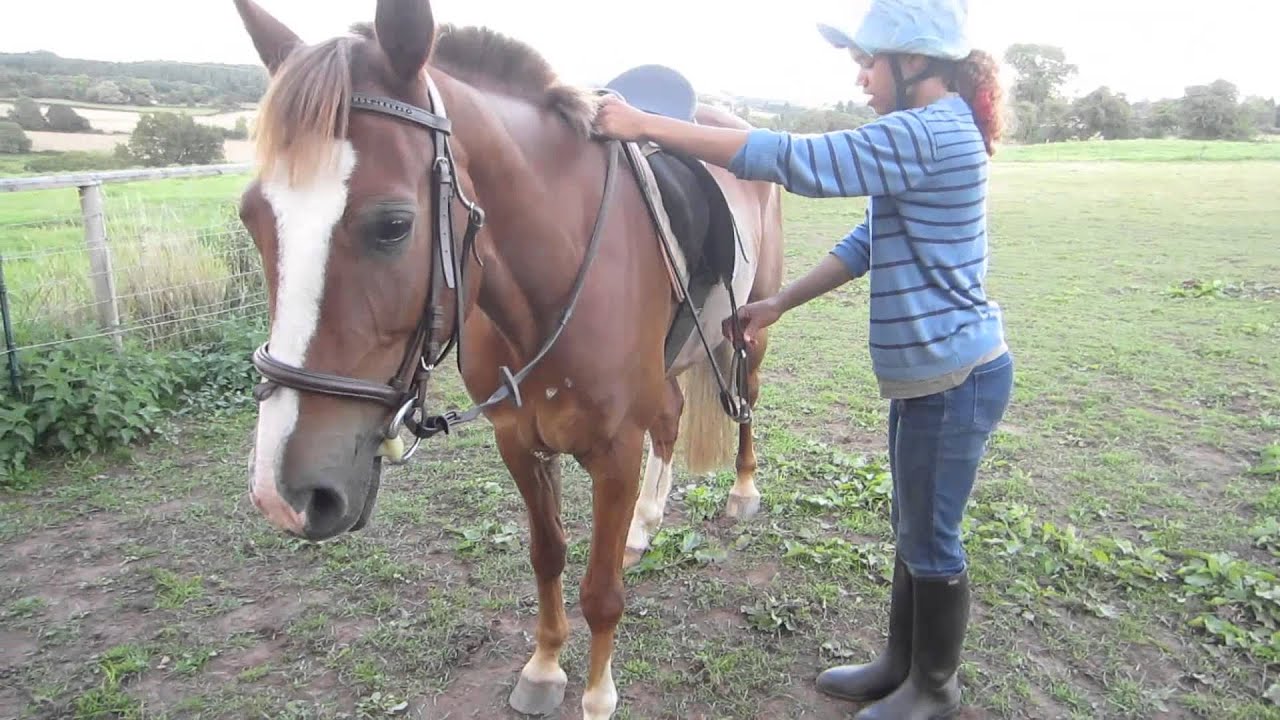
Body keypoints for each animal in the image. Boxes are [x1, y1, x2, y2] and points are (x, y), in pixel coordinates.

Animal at [232, 0, 784, 717]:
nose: (283, 495)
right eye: (252, 217)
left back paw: (741, 491)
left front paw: (597, 696)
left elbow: (601, 591)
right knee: (672, 415)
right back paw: (645, 525)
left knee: (744, 402)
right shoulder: (518, 441)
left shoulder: (615, 453)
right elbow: (547, 555)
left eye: (394, 225)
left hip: (750, 329)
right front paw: (545, 668)